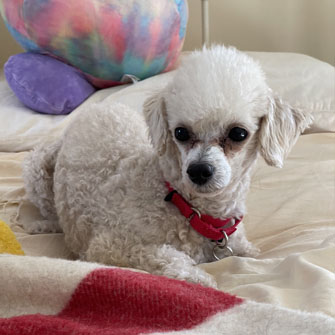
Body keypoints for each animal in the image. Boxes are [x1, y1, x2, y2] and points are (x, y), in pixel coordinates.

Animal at [23, 45, 312, 288]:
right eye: (181, 132)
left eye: (238, 134)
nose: (198, 171)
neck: (188, 208)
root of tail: (92, 110)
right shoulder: (109, 246)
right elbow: (168, 257)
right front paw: (200, 278)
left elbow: (250, 252)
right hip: (37, 171)